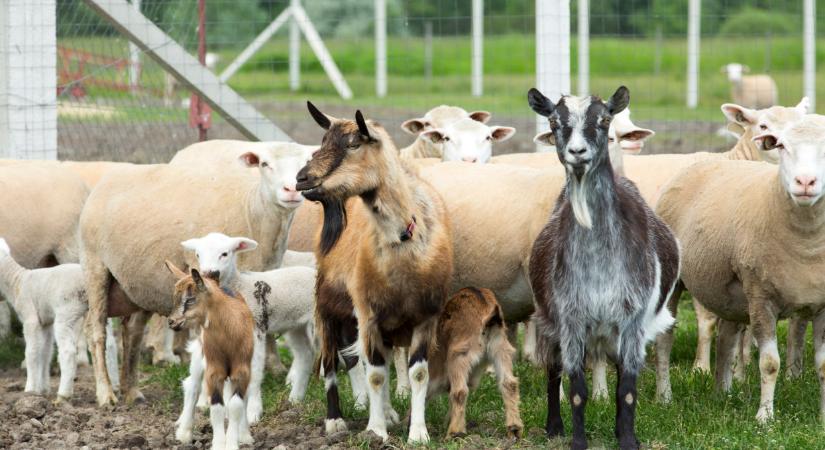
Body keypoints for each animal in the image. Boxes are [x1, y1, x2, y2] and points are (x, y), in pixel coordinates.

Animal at [167, 262, 254, 450]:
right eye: (174, 298)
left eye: (190, 299)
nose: (172, 322)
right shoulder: (214, 370)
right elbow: (217, 407)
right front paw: (220, 444)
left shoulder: (242, 369)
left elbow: (236, 405)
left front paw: (233, 443)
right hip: (199, 355)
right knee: (192, 386)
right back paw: (184, 432)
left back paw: (244, 435)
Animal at [296, 103, 450, 442]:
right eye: (323, 140)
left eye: (355, 144)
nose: (301, 178)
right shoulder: (368, 314)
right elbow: (376, 374)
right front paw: (376, 430)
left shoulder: (426, 316)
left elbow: (418, 372)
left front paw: (417, 432)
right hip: (327, 303)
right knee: (332, 362)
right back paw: (336, 421)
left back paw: (390, 412)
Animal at [424, 288, 520, 440]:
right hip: (501, 351)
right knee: (509, 383)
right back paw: (514, 428)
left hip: (459, 356)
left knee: (460, 391)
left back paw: (454, 432)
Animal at [524, 86, 680, 448]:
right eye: (554, 122)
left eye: (604, 120)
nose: (577, 152)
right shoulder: (570, 319)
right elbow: (576, 389)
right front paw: (577, 441)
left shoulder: (633, 319)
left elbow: (628, 389)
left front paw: (628, 440)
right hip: (551, 321)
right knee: (552, 370)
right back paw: (554, 426)